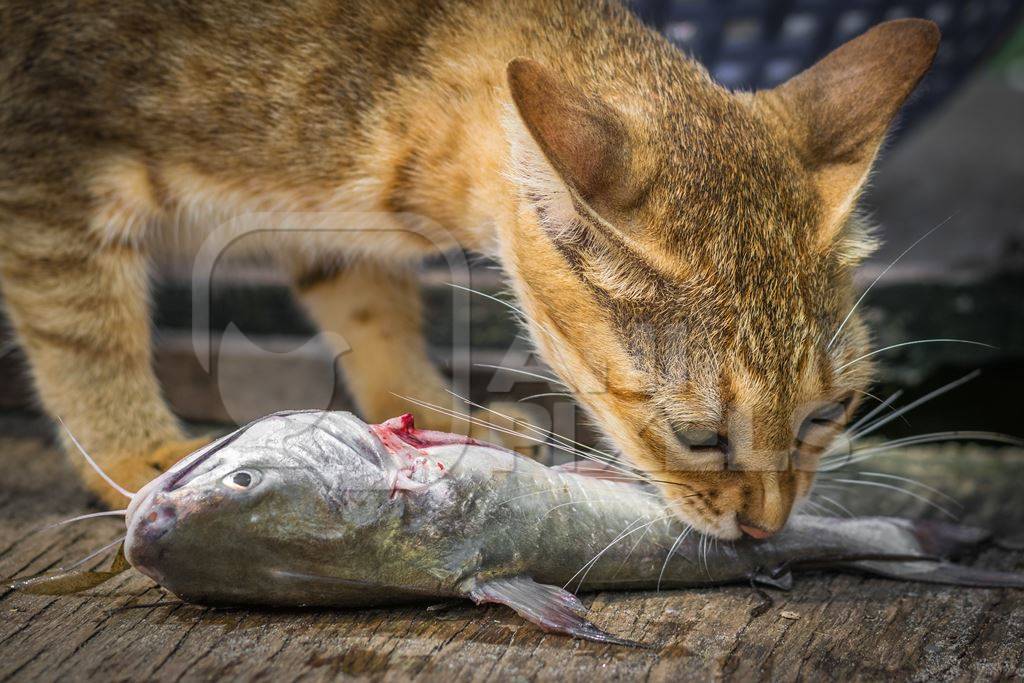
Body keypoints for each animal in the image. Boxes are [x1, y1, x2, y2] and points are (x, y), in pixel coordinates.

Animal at [0, 1, 937, 540]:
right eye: (700, 435)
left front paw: (429, 415)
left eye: (829, 413)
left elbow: (371, 312)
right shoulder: (47, 172)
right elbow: (83, 334)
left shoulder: (332, 229)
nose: (770, 527)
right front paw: (138, 451)